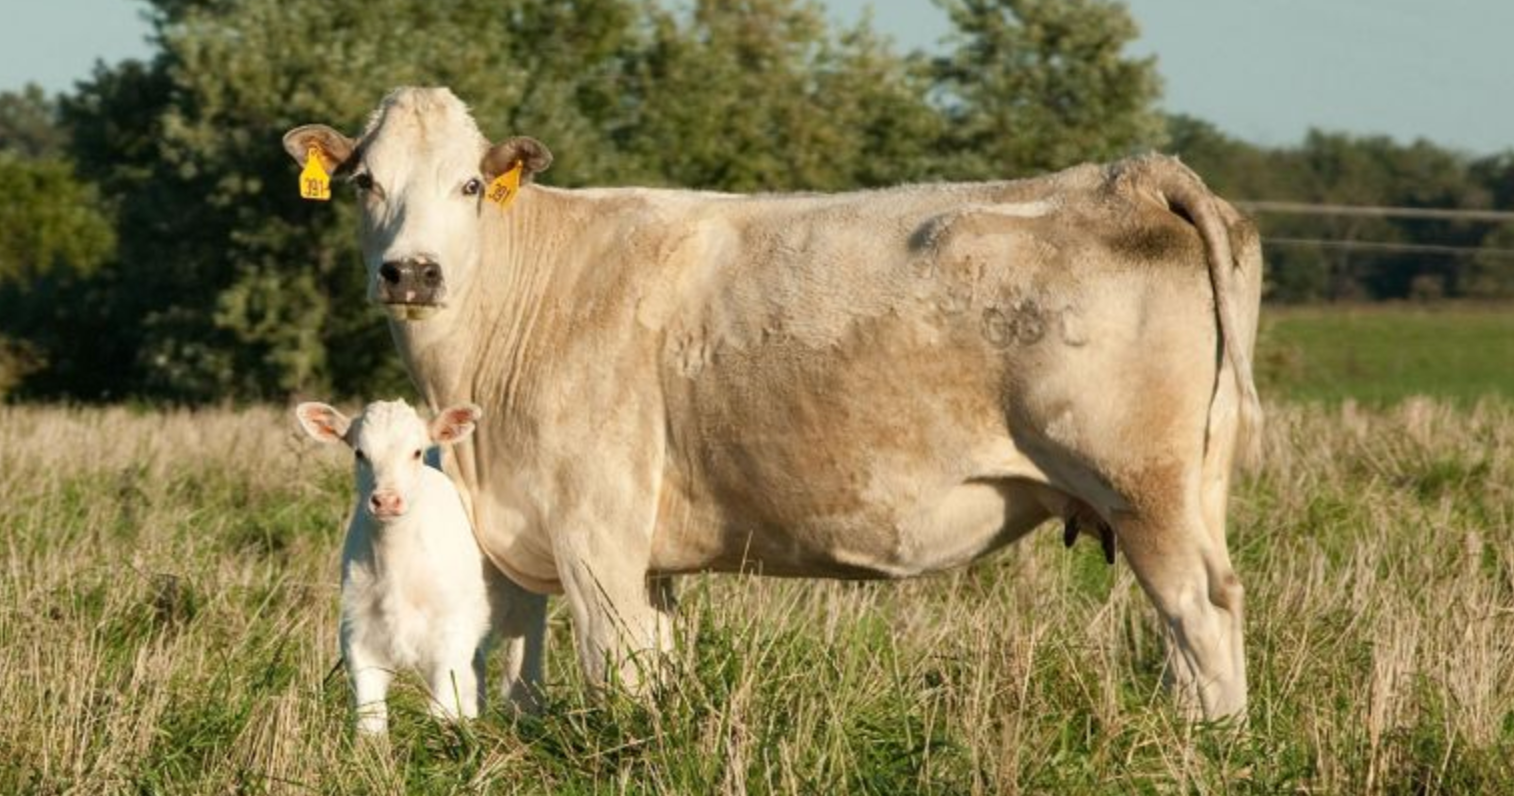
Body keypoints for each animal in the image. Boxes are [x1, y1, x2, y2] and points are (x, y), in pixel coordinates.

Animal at [284, 87, 1265, 723]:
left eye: (467, 186)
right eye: (366, 183)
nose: (411, 272)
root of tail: (1129, 172)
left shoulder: (595, 533)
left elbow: (619, 675)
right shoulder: (566, 543)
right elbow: (550, 669)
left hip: (1143, 488)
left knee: (1199, 611)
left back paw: (1208, 745)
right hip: (1196, 486)